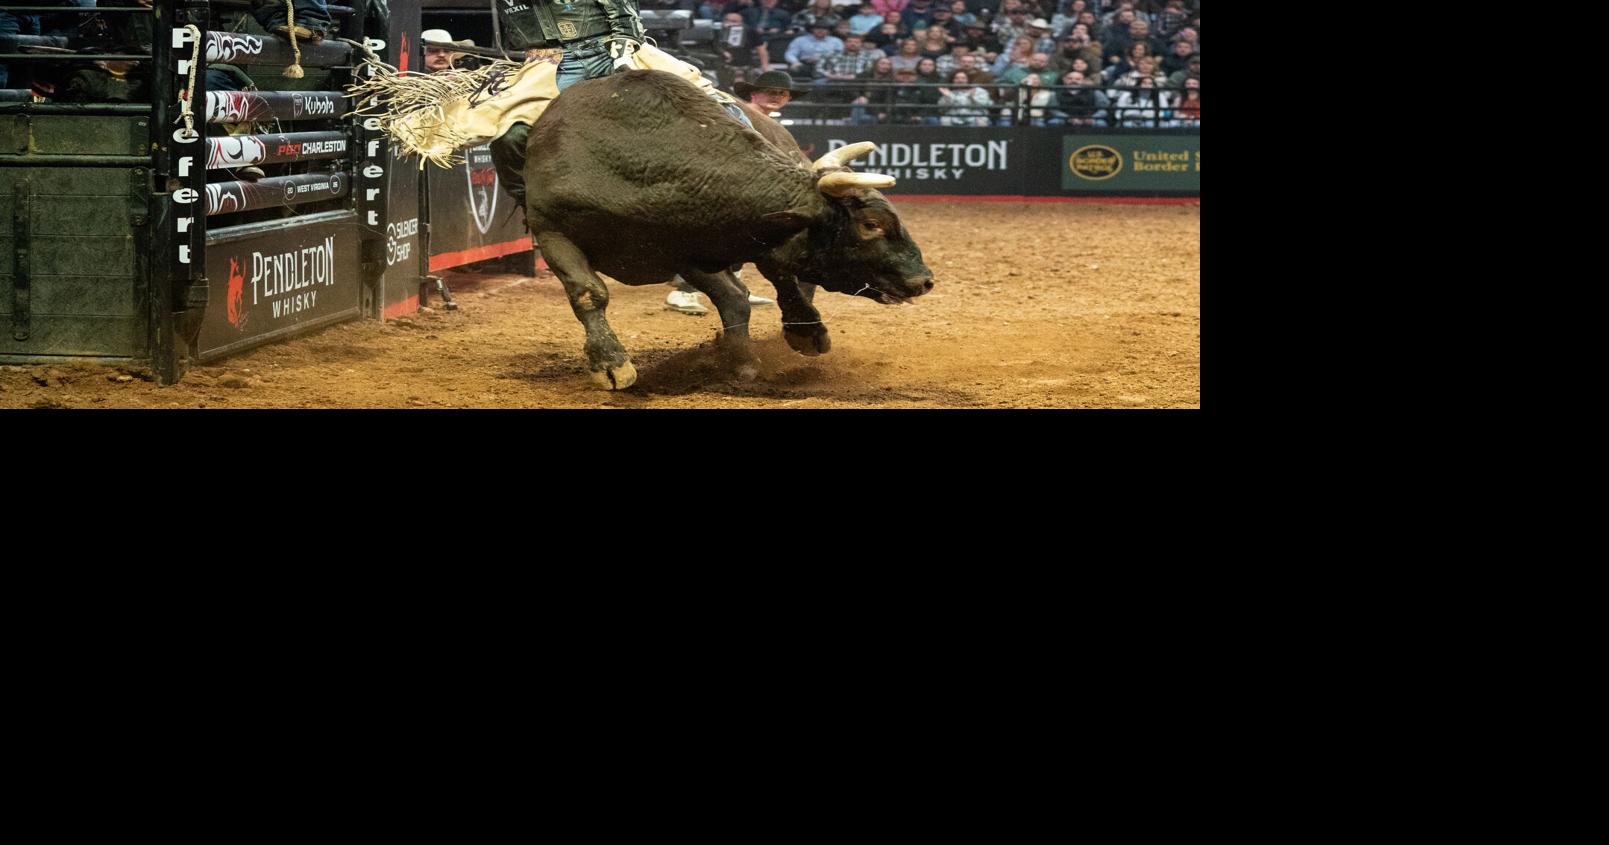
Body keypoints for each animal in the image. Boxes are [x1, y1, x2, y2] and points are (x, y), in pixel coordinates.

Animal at [523, 69, 935, 389]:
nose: (925, 279)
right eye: (871, 224)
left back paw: (782, 342)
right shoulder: (551, 230)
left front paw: (804, 332)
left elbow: (765, 282)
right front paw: (610, 364)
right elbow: (589, 293)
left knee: (763, 283)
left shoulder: (708, 240)